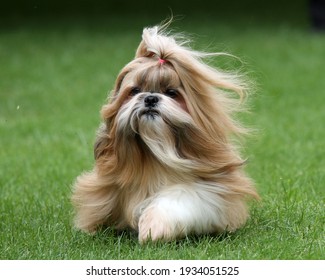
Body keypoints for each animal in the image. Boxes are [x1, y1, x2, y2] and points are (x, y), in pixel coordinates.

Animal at [71, 23, 258, 243]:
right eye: (135, 91)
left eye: (171, 93)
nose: (150, 98)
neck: (155, 154)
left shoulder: (211, 189)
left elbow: (175, 200)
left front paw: (153, 228)